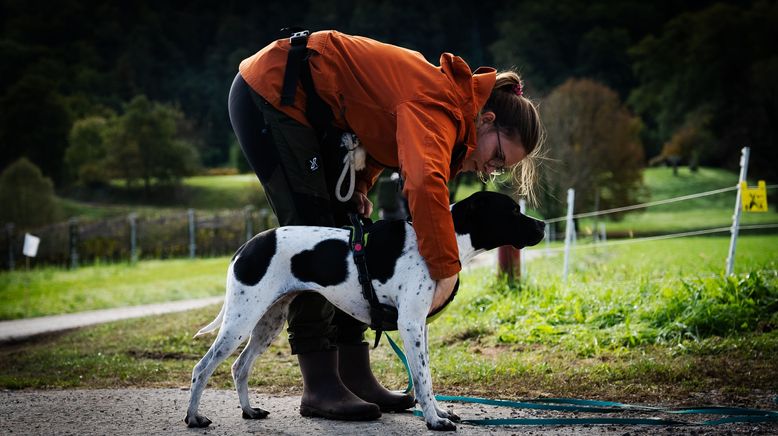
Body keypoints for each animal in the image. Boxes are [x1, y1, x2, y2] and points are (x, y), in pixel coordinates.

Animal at [184, 192, 544, 430]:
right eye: (513, 211)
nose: (542, 225)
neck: (441, 238)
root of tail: (246, 246)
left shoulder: (421, 327)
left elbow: (426, 376)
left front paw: (439, 413)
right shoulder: (411, 323)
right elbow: (422, 380)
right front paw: (433, 420)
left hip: (267, 322)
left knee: (239, 367)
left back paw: (248, 411)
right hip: (241, 321)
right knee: (202, 368)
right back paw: (193, 417)